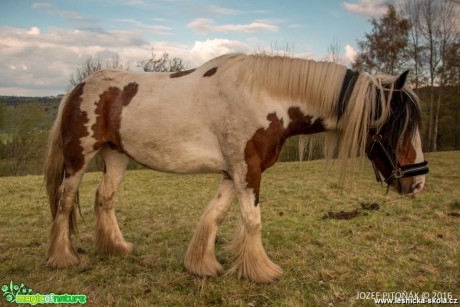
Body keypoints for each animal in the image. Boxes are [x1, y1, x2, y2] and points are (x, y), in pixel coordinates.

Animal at [44, 53, 428, 284]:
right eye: (397, 126)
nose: (418, 182)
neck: (263, 95)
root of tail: (76, 89)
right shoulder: (248, 170)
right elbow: (252, 219)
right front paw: (262, 271)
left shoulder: (234, 172)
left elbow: (214, 214)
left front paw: (202, 264)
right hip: (80, 157)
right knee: (65, 201)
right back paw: (63, 257)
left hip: (116, 157)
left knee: (104, 198)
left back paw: (116, 248)